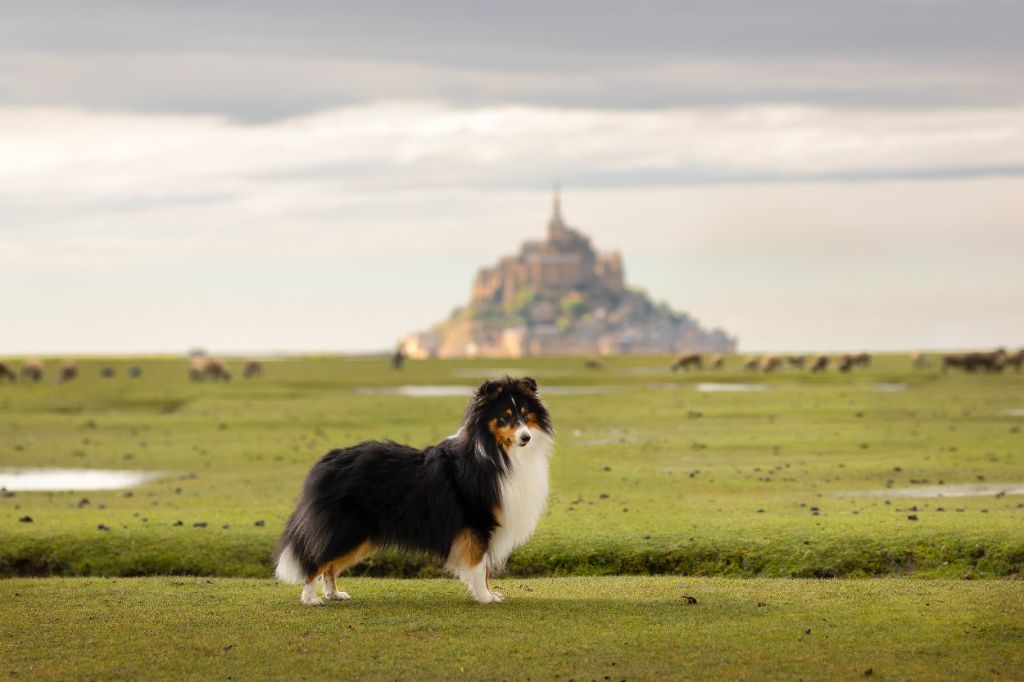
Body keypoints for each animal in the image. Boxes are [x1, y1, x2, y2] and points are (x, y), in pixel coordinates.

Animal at [274, 374, 552, 602]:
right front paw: (485, 597)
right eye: (504, 417)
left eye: (525, 415)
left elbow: (483, 569)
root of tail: (326, 461)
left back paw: (334, 594)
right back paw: (310, 599)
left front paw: (489, 593)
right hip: (346, 528)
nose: (525, 437)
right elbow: (478, 565)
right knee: (316, 561)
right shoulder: (477, 522)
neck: (498, 453)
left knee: (330, 566)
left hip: (359, 534)